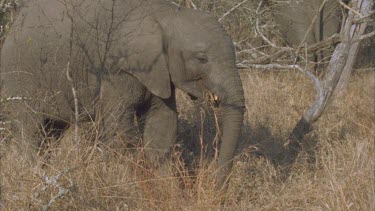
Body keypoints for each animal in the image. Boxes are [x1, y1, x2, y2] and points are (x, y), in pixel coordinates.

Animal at [0, 0, 245, 187]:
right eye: (201, 58)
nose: (215, 184)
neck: (166, 14)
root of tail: (13, 27)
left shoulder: (159, 71)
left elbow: (162, 127)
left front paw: (169, 192)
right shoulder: (116, 68)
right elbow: (120, 132)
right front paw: (125, 184)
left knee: (51, 133)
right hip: (19, 75)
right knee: (29, 130)